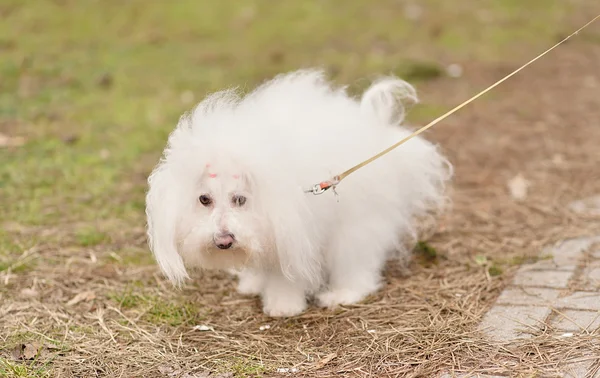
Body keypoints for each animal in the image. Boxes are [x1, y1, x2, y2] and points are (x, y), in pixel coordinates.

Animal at [145, 69, 452, 318]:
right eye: (204, 200)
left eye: (240, 199)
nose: (223, 241)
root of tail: (379, 129)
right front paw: (254, 283)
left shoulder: (294, 235)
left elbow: (285, 275)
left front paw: (283, 305)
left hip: (355, 223)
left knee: (356, 262)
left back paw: (343, 294)